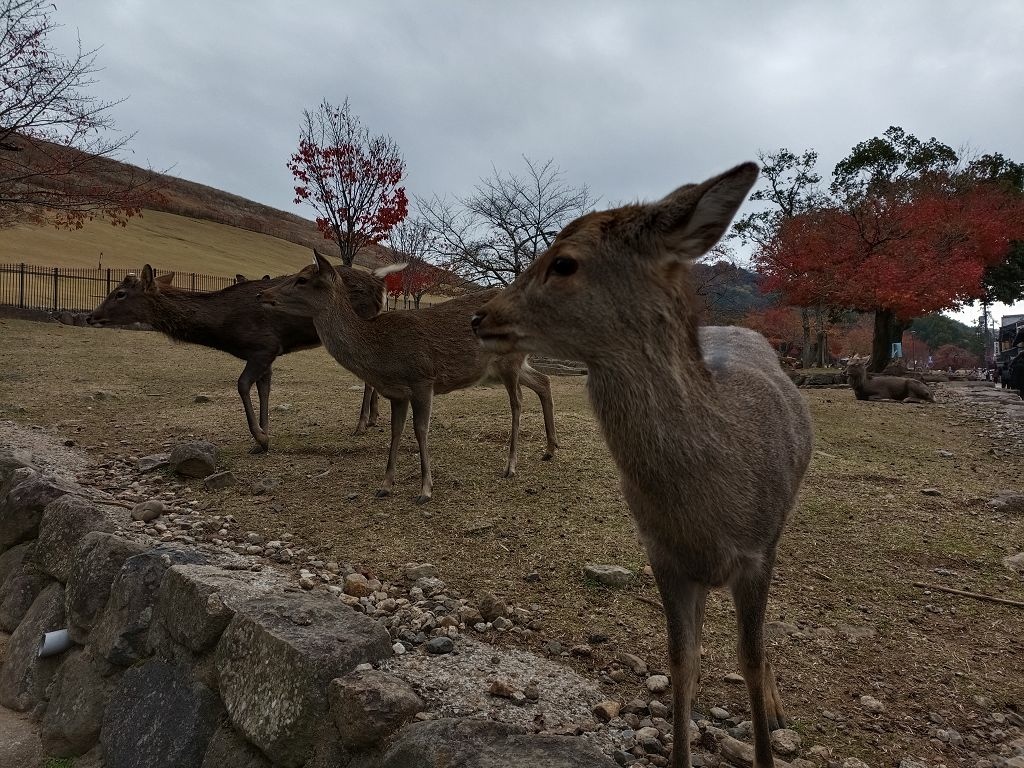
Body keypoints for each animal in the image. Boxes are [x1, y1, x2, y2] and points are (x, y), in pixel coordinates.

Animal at [88, 262, 399, 450]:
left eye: (120, 293)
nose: (91, 316)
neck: (223, 327)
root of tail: (380, 285)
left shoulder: (264, 346)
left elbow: (242, 385)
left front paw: (260, 437)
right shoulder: (268, 354)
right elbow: (264, 388)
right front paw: (264, 434)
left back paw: (360, 424)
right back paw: (373, 418)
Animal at [256, 249, 561, 505]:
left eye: (303, 279)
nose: (261, 294)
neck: (381, 354)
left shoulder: (422, 379)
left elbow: (420, 429)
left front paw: (425, 489)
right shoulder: (397, 393)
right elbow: (396, 430)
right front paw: (385, 485)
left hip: (508, 362)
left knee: (517, 402)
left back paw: (510, 465)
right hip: (500, 369)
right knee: (543, 381)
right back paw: (550, 449)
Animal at [468, 159, 811, 765]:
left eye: (564, 262)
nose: (478, 314)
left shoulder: (757, 552)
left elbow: (748, 659)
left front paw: (766, 730)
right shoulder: (662, 555)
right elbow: (681, 661)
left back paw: (775, 708)